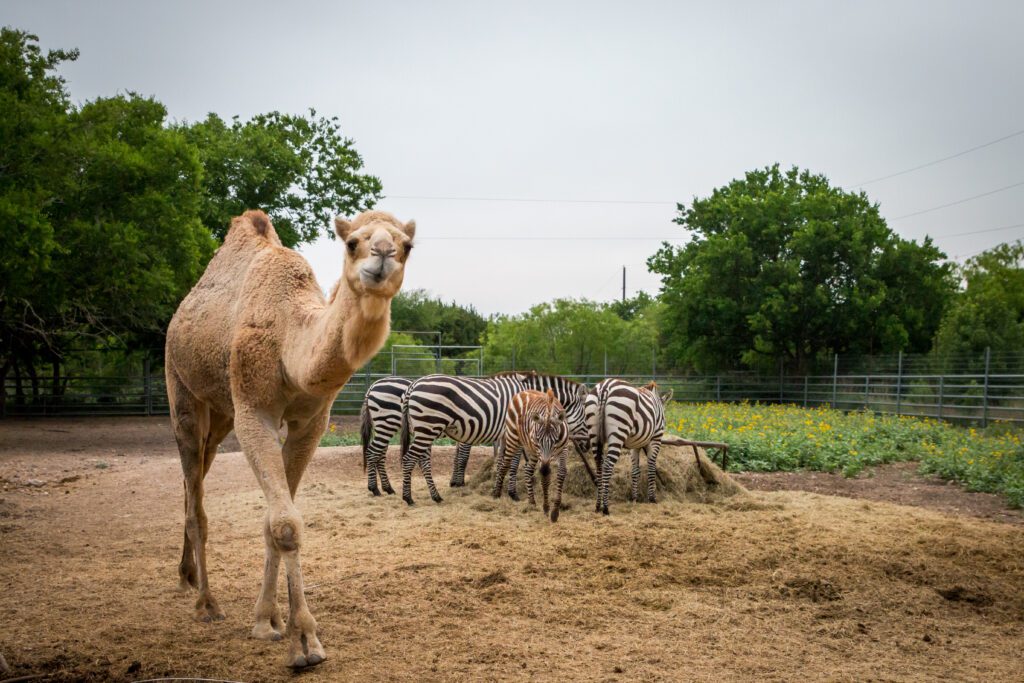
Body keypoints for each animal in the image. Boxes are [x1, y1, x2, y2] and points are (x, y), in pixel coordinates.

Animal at [163, 208, 411, 667]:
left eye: (407, 245)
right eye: (352, 242)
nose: (383, 255)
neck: (289, 343)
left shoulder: (311, 422)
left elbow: (274, 519)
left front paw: (269, 619)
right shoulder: (253, 411)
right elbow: (285, 524)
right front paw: (303, 640)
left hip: (221, 414)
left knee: (194, 482)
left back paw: (186, 576)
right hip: (182, 389)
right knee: (195, 498)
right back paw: (206, 602)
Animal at [399, 370, 593, 505]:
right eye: (586, 416)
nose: (588, 446)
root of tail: (414, 384)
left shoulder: (504, 436)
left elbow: (501, 463)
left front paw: (496, 490)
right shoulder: (516, 435)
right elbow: (512, 465)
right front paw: (513, 494)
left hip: (424, 429)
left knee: (423, 461)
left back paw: (436, 496)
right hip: (428, 427)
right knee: (409, 459)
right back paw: (408, 498)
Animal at [491, 389, 573, 524]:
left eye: (555, 441)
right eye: (539, 440)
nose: (545, 467)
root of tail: (523, 391)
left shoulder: (564, 449)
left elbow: (561, 473)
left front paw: (555, 511)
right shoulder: (539, 451)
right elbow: (545, 477)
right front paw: (546, 507)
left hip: (531, 450)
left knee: (528, 469)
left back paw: (531, 501)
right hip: (514, 438)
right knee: (504, 465)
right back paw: (496, 494)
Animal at [589, 378, 675, 511]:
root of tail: (605, 386)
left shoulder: (635, 445)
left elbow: (635, 471)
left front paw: (635, 498)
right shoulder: (656, 438)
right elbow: (651, 467)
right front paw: (652, 498)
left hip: (594, 434)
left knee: (599, 465)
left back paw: (598, 505)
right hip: (618, 431)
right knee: (607, 465)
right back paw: (606, 508)